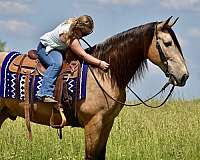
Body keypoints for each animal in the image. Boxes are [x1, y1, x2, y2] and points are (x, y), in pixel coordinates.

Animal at [0, 16, 188, 159]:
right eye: (168, 43)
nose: (184, 76)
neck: (105, 74)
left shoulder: (107, 123)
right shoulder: (93, 123)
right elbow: (90, 156)